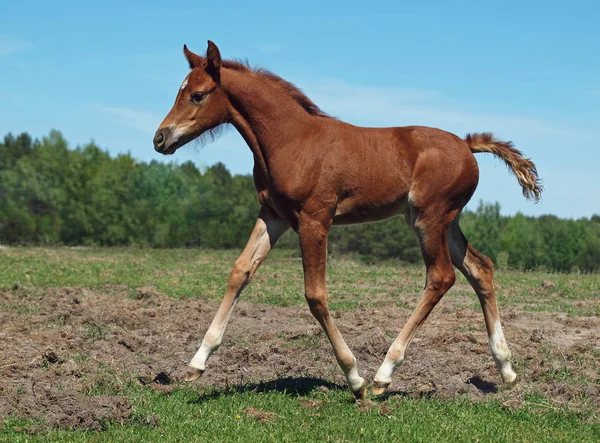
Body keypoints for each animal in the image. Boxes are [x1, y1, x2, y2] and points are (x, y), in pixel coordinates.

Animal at [152, 41, 540, 400]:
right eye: (180, 91)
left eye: (198, 95)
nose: (160, 138)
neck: (290, 140)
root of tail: (466, 145)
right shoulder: (273, 216)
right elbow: (240, 271)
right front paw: (196, 364)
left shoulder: (314, 220)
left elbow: (315, 294)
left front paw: (354, 378)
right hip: (446, 221)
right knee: (480, 268)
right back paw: (507, 370)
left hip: (429, 219)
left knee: (441, 277)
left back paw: (384, 375)